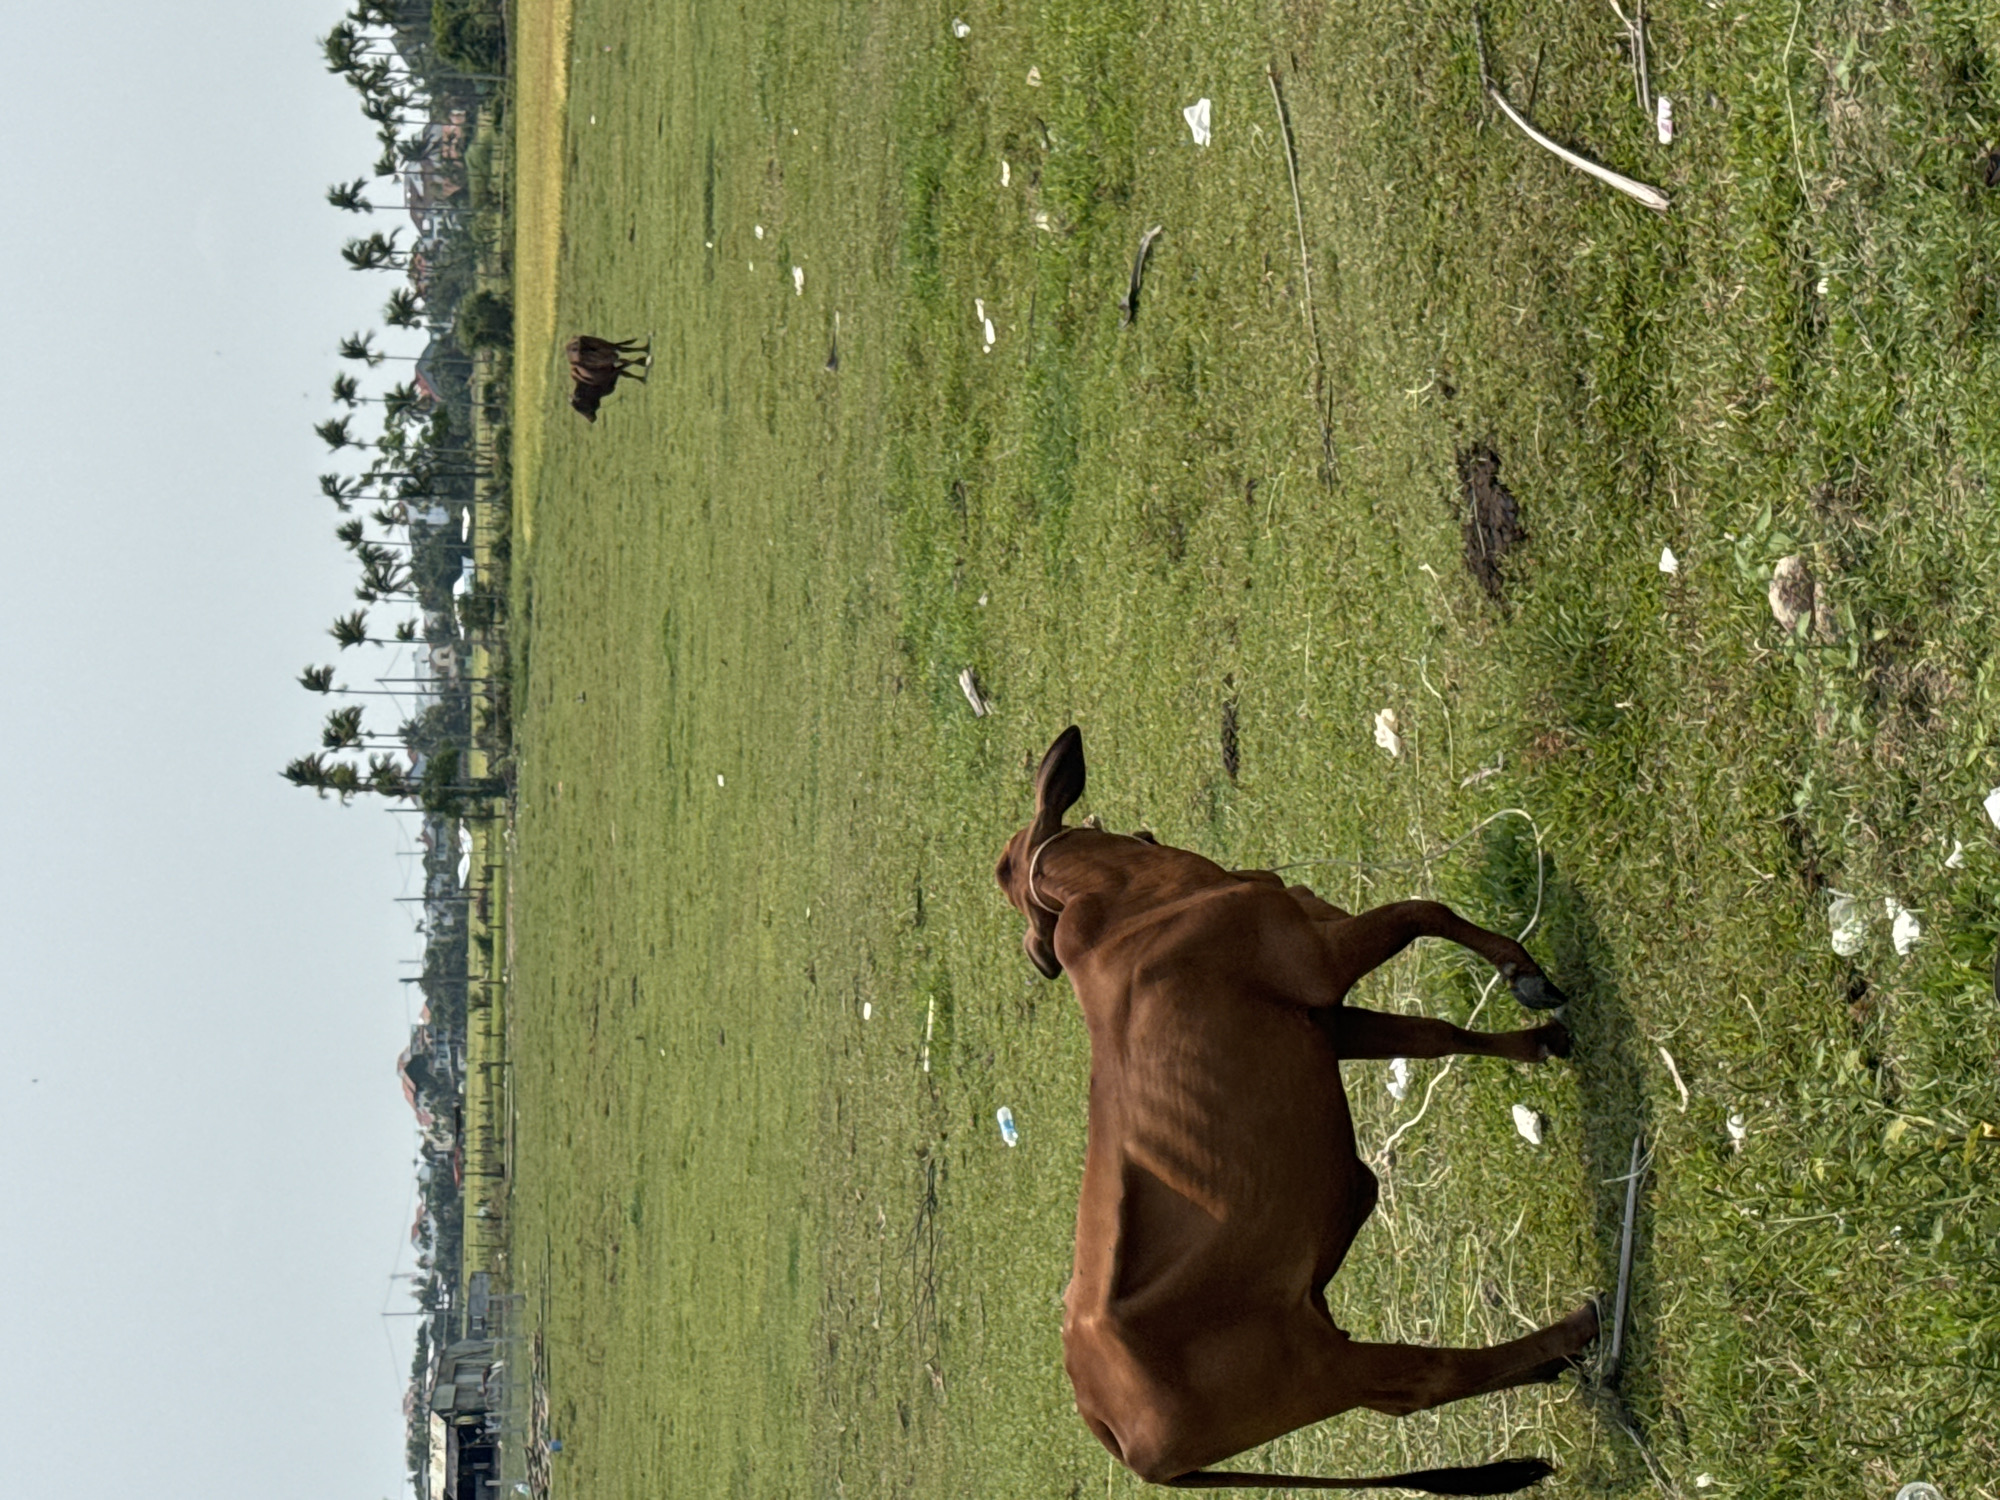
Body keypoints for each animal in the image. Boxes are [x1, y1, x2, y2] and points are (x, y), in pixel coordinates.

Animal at [993, 726, 1600, 1495]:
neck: (1127, 903)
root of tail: (1105, 1422)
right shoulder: (1321, 956)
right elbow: (1421, 911)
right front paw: (1521, 971)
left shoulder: (1326, 1019)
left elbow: (1434, 1034)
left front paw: (1540, 1040)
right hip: (1321, 1371)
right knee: (1426, 1378)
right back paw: (1578, 1331)